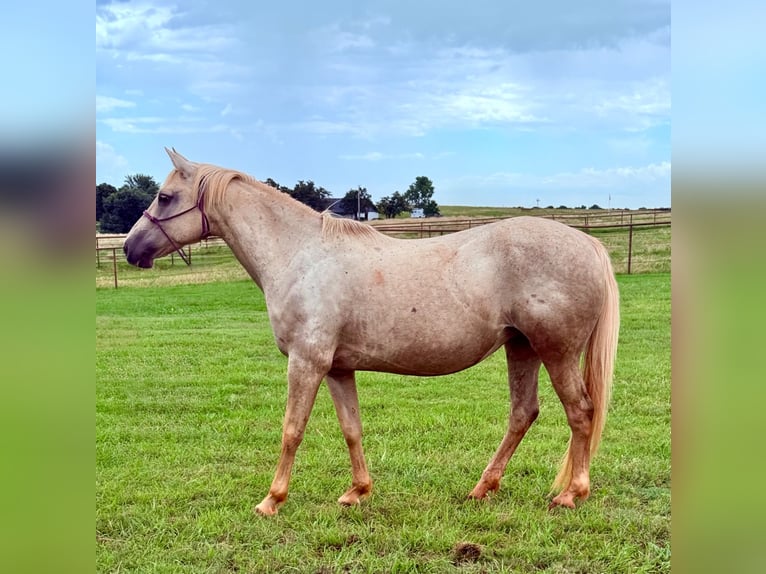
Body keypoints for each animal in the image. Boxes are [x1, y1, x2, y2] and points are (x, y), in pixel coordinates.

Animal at [124, 149, 619, 515]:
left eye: (165, 196)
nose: (130, 248)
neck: (301, 255)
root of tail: (589, 244)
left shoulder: (307, 362)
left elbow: (292, 429)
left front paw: (271, 500)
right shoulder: (337, 369)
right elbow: (352, 428)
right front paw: (357, 492)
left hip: (556, 351)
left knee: (580, 413)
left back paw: (570, 494)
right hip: (522, 347)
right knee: (523, 414)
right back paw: (483, 488)